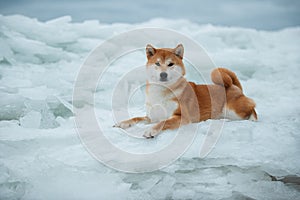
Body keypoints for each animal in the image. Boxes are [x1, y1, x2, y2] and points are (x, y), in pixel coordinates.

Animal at [113, 44, 256, 138]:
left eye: (170, 64)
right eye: (157, 63)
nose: (163, 74)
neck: (161, 93)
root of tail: (234, 87)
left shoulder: (182, 117)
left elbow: (164, 122)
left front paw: (150, 131)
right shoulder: (152, 116)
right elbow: (136, 118)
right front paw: (122, 123)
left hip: (233, 110)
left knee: (252, 111)